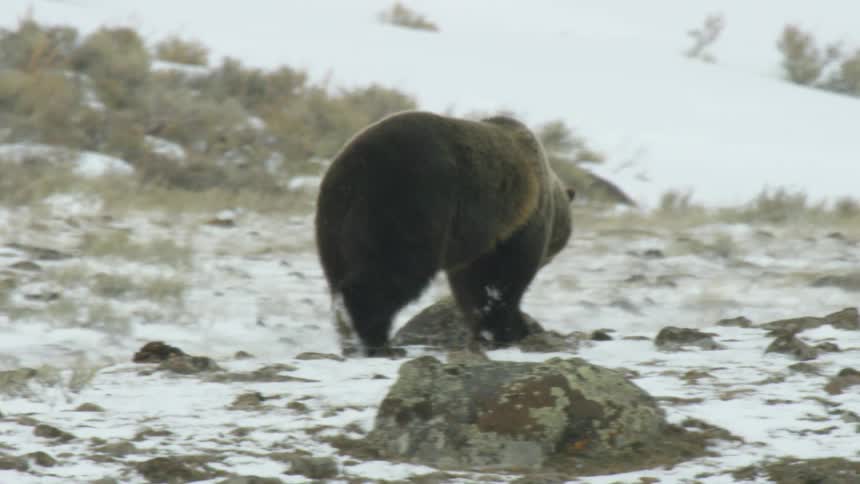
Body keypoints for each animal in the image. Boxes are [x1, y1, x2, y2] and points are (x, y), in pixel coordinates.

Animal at [315, 111, 574, 357]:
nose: (547, 259)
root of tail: (355, 165)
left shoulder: (476, 240)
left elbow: (471, 287)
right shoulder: (515, 224)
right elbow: (501, 279)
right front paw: (510, 331)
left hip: (334, 219)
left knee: (340, 271)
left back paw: (349, 334)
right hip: (409, 198)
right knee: (394, 268)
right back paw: (377, 342)